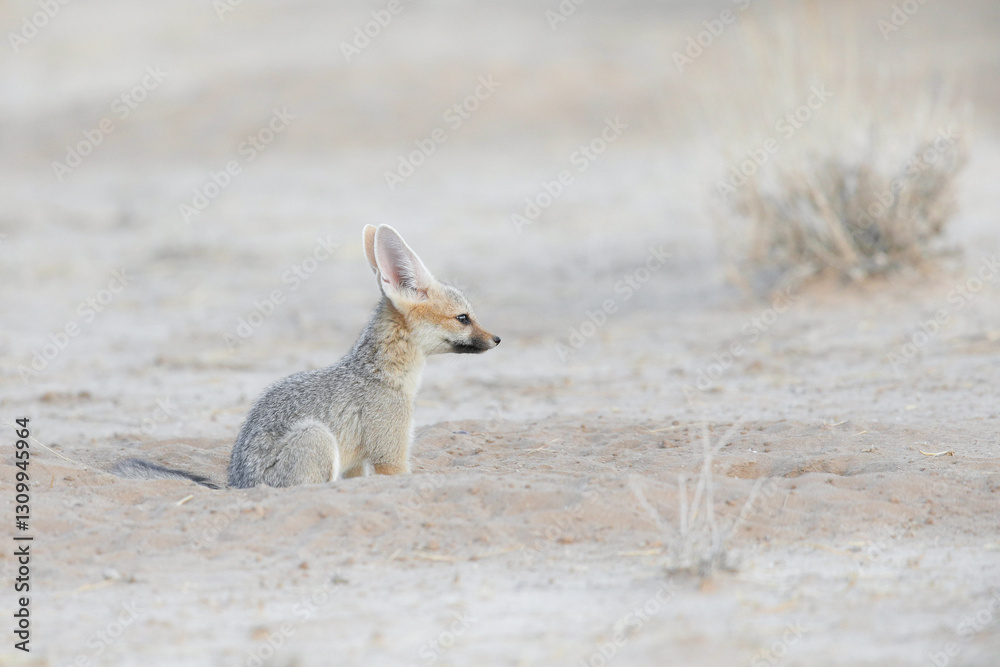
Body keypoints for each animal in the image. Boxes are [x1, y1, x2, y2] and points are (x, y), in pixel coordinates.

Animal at [113, 225, 500, 488]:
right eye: (463, 318)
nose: (497, 339)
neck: (380, 373)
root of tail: (236, 485)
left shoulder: (357, 465)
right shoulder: (391, 456)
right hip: (318, 437)